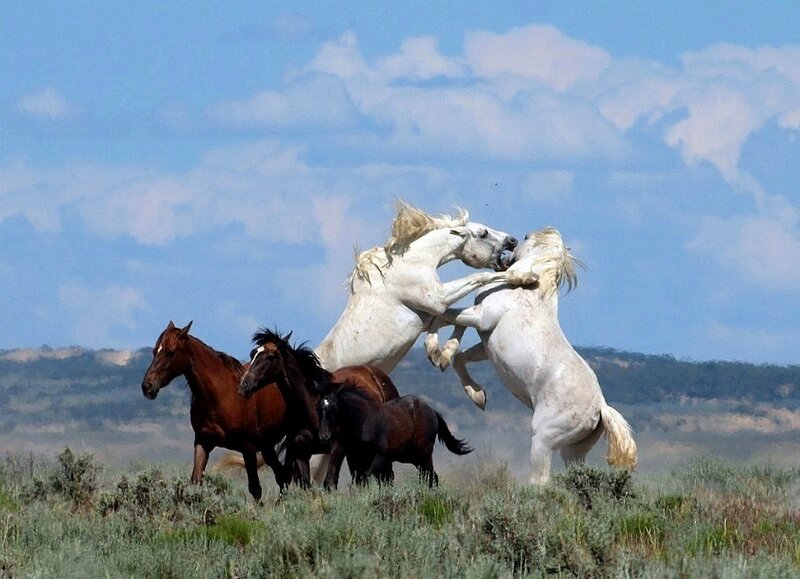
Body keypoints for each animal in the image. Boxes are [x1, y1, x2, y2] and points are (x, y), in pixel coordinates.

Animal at [140, 321, 291, 501]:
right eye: (154, 351)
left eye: (171, 352)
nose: (147, 386)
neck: (222, 395)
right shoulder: (203, 442)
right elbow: (195, 481)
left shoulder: (248, 447)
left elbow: (255, 489)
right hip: (267, 446)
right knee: (282, 476)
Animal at [237, 328, 400, 489]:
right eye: (253, 354)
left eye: (270, 356)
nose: (244, 385)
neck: (312, 408)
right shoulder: (301, 451)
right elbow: (306, 484)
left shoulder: (337, 447)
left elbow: (329, 482)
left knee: (385, 476)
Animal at [313, 201, 536, 373]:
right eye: (483, 233)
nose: (512, 240)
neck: (412, 262)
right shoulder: (437, 298)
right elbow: (479, 276)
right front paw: (526, 277)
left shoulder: (428, 315)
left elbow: (449, 319)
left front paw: (438, 354)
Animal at [317, 384, 473, 487]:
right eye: (319, 408)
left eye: (335, 407)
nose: (324, 435)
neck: (364, 422)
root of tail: (432, 411)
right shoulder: (350, 456)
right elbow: (340, 480)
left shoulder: (379, 456)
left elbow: (367, 479)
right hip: (412, 458)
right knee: (430, 476)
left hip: (424, 454)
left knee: (430, 476)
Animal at [424, 227, 637, 485]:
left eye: (525, 238)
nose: (512, 241)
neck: (528, 290)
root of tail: (600, 408)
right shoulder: (487, 343)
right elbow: (459, 355)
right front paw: (476, 393)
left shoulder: (481, 317)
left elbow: (444, 315)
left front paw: (434, 350)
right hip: (573, 451)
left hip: (543, 440)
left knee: (540, 482)